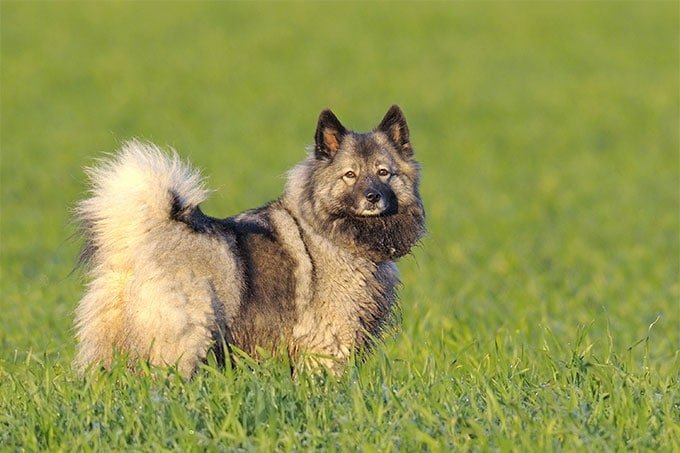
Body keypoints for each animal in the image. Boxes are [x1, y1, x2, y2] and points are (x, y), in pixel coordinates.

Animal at [74, 104, 424, 376]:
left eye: (383, 172)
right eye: (349, 175)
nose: (373, 197)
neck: (329, 231)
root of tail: (142, 236)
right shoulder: (329, 342)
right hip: (183, 339)